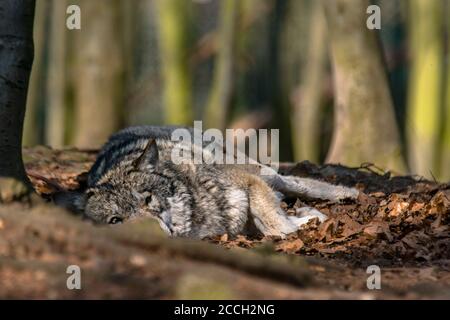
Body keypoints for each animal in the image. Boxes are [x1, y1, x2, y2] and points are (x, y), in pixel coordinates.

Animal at [58, 126, 358, 239]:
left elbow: (274, 222)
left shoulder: (248, 181)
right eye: (115, 220)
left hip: (260, 170)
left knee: (294, 182)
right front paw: (303, 218)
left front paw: (303, 222)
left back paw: (347, 194)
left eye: (147, 199)